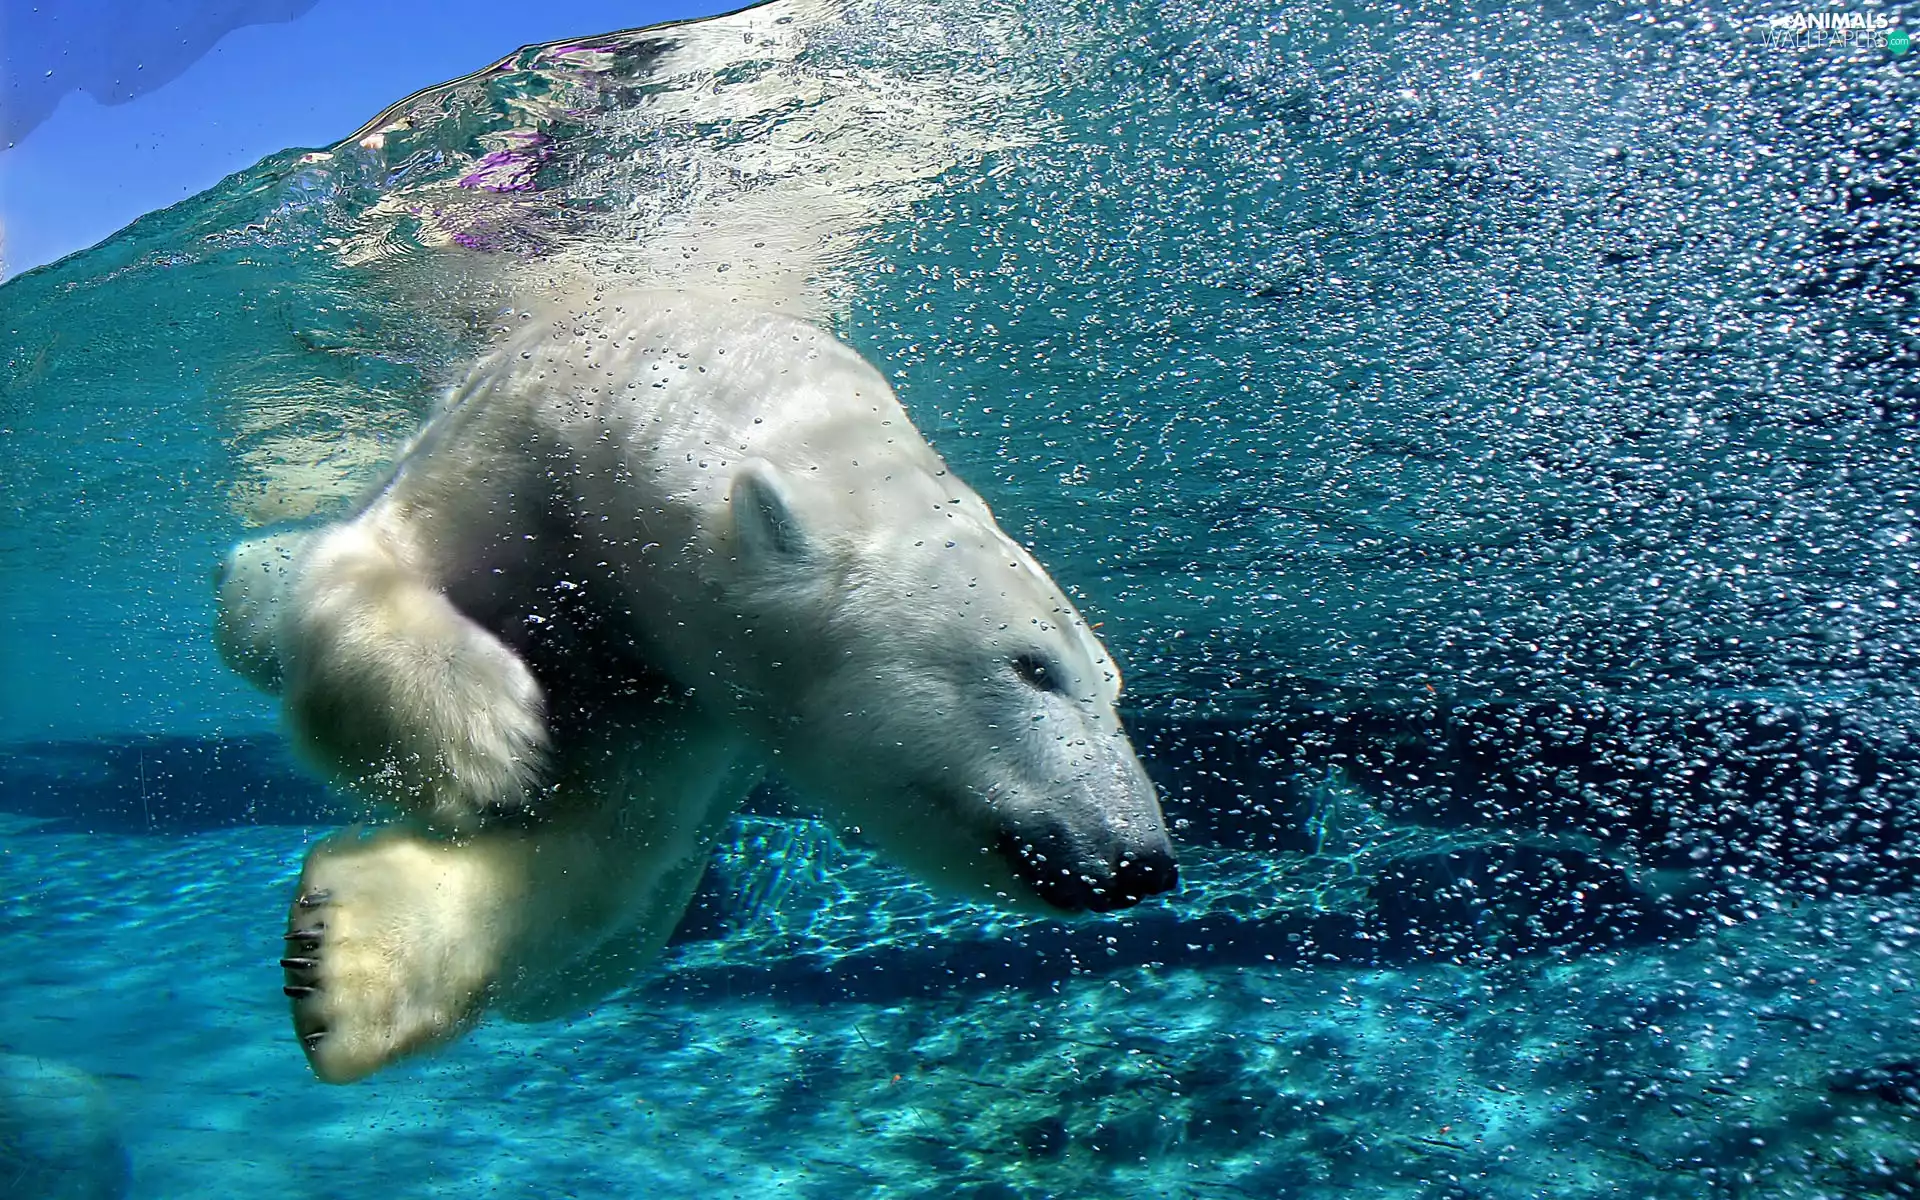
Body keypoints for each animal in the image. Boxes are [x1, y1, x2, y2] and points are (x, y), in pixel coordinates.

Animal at [214, 291, 1176, 1083]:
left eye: (1114, 688)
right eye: (1032, 666)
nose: (1141, 862)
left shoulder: (691, 696)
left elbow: (606, 842)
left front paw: (341, 958)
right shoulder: (518, 447)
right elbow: (376, 562)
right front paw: (485, 739)